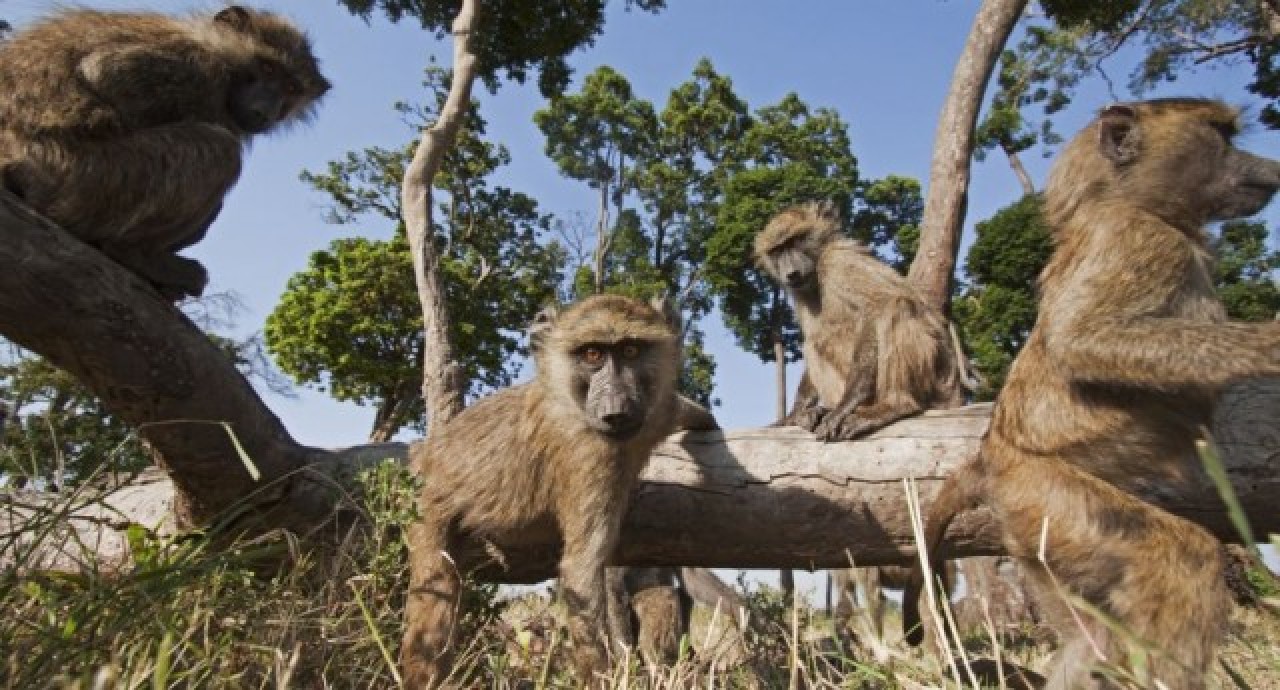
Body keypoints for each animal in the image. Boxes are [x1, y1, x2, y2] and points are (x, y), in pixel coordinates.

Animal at [0, 4, 330, 302]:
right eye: (267, 67)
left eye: (290, 88)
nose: (265, 111)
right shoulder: (195, 67)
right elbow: (105, 71)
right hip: (81, 179)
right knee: (220, 149)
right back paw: (132, 254)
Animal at [399, 294, 721, 686]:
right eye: (592, 354)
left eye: (630, 350)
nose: (614, 411)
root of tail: (426, 456)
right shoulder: (590, 455)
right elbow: (581, 577)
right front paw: (605, 678)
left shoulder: (654, 412)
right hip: (426, 509)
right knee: (435, 600)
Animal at [747, 198, 962, 442]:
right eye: (777, 251)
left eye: (794, 241)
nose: (791, 273)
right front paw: (794, 415)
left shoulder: (838, 259)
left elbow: (876, 308)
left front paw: (846, 404)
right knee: (812, 342)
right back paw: (820, 411)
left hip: (934, 381)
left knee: (897, 306)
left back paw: (894, 405)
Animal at [906, 98, 1280, 690]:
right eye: (1222, 136)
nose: (1270, 168)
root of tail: (991, 453)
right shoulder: (1138, 239)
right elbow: (1081, 340)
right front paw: (1273, 344)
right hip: (1047, 495)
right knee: (1183, 562)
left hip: (1033, 534)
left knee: (1092, 640)